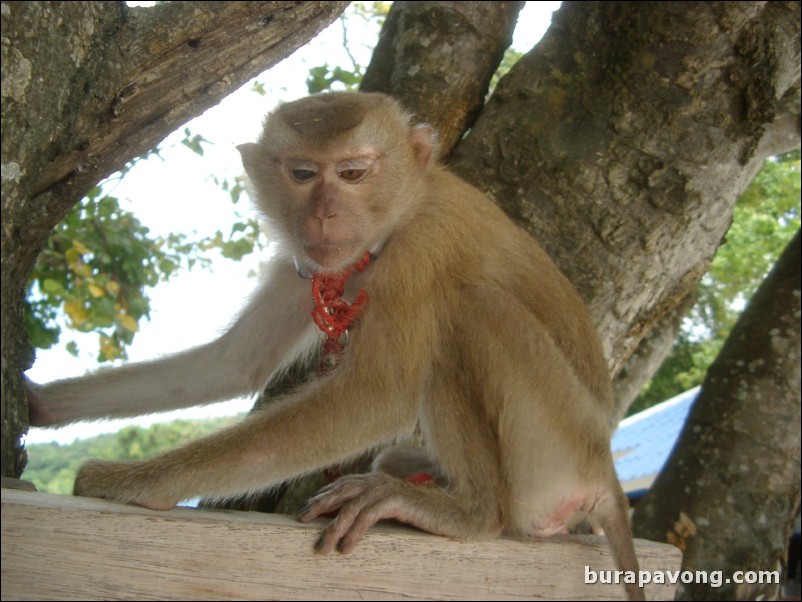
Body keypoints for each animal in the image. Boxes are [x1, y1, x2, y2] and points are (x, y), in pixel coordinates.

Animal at [28, 91, 644, 596]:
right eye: (303, 173)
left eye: (351, 173)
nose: (323, 211)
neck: (398, 216)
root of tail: (606, 478)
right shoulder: (305, 261)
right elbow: (234, 364)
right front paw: (39, 401)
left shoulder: (420, 251)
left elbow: (379, 393)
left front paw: (141, 482)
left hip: (554, 449)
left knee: (471, 310)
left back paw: (471, 512)